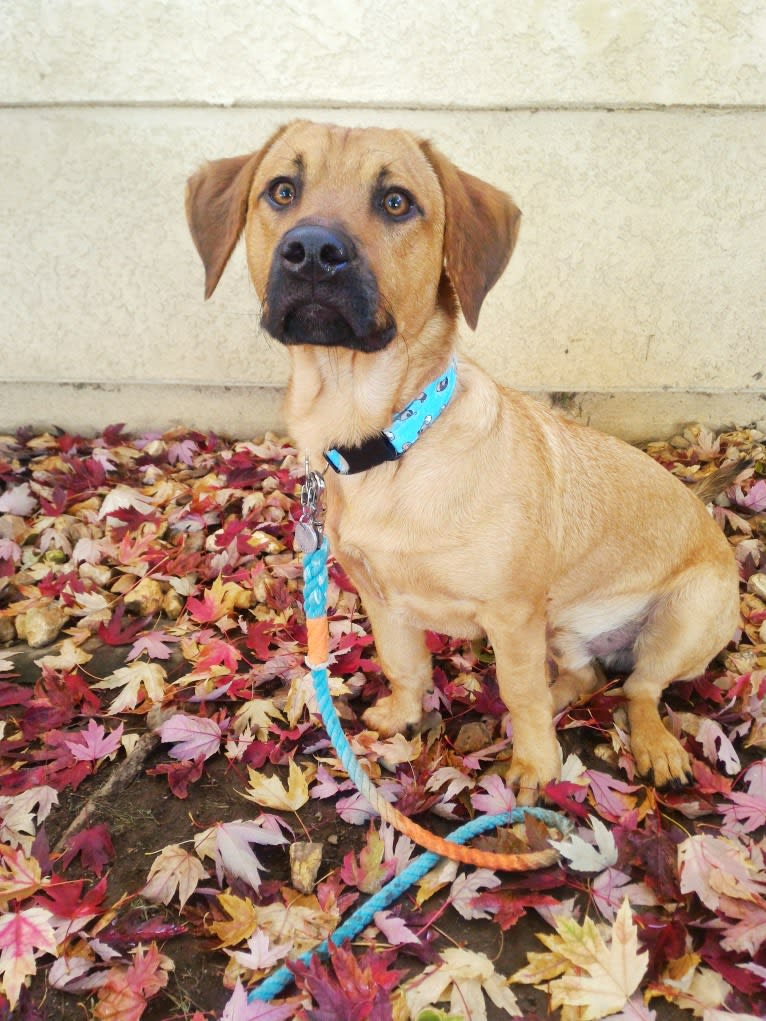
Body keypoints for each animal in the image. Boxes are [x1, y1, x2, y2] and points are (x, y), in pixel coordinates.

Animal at [187, 119, 743, 800]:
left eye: (396, 201)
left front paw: (536, 768)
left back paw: (654, 745)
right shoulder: (382, 597)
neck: (390, 443)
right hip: (562, 628)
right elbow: (406, 665)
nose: (313, 250)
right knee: (588, 678)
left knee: (639, 689)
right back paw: (564, 695)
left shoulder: (513, 615)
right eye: (282, 189)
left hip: (681, 619)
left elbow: (521, 693)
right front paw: (403, 718)